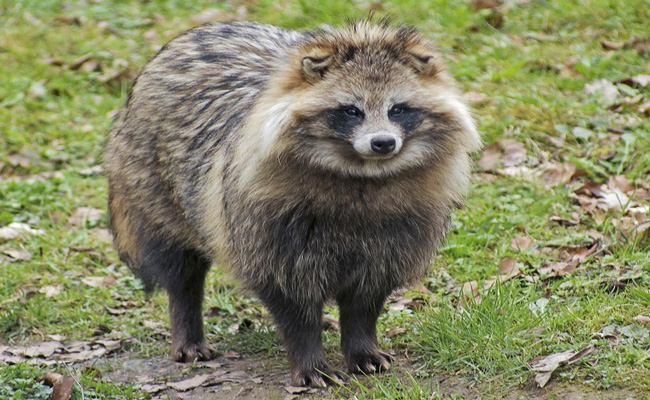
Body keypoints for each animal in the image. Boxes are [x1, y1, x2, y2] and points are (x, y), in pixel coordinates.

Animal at [105, 20, 481, 387]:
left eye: (398, 109)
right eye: (351, 111)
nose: (383, 143)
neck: (362, 174)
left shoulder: (400, 229)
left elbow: (366, 296)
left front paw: (361, 346)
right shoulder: (267, 223)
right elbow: (291, 298)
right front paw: (309, 358)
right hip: (152, 186)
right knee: (180, 267)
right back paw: (186, 322)